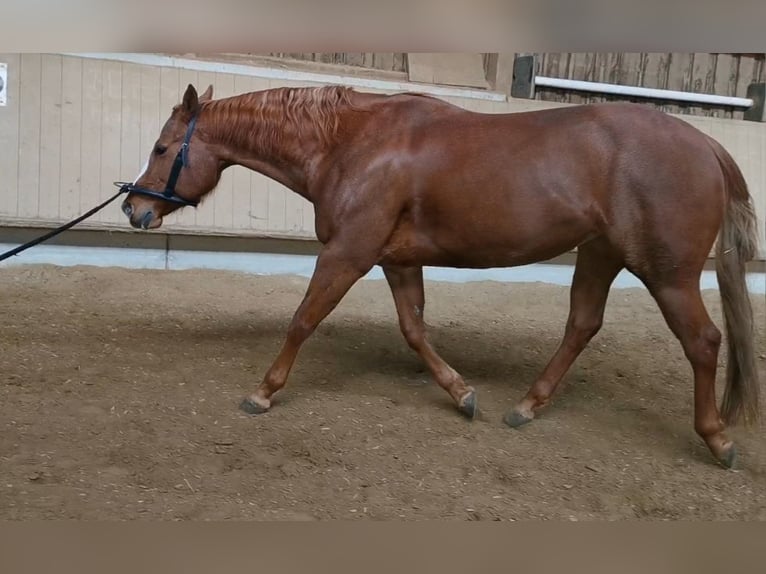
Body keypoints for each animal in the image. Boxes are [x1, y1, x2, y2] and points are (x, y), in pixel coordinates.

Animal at [121, 82, 760, 468]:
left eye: (162, 148)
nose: (134, 210)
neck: (351, 143)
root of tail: (705, 144)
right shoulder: (398, 261)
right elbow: (415, 330)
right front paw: (461, 393)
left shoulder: (347, 253)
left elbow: (303, 320)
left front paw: (262, 393)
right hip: (600, 253)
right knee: (582, 325)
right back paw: (526, 406)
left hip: (667, 273)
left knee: (703, 341)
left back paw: (717, 438)